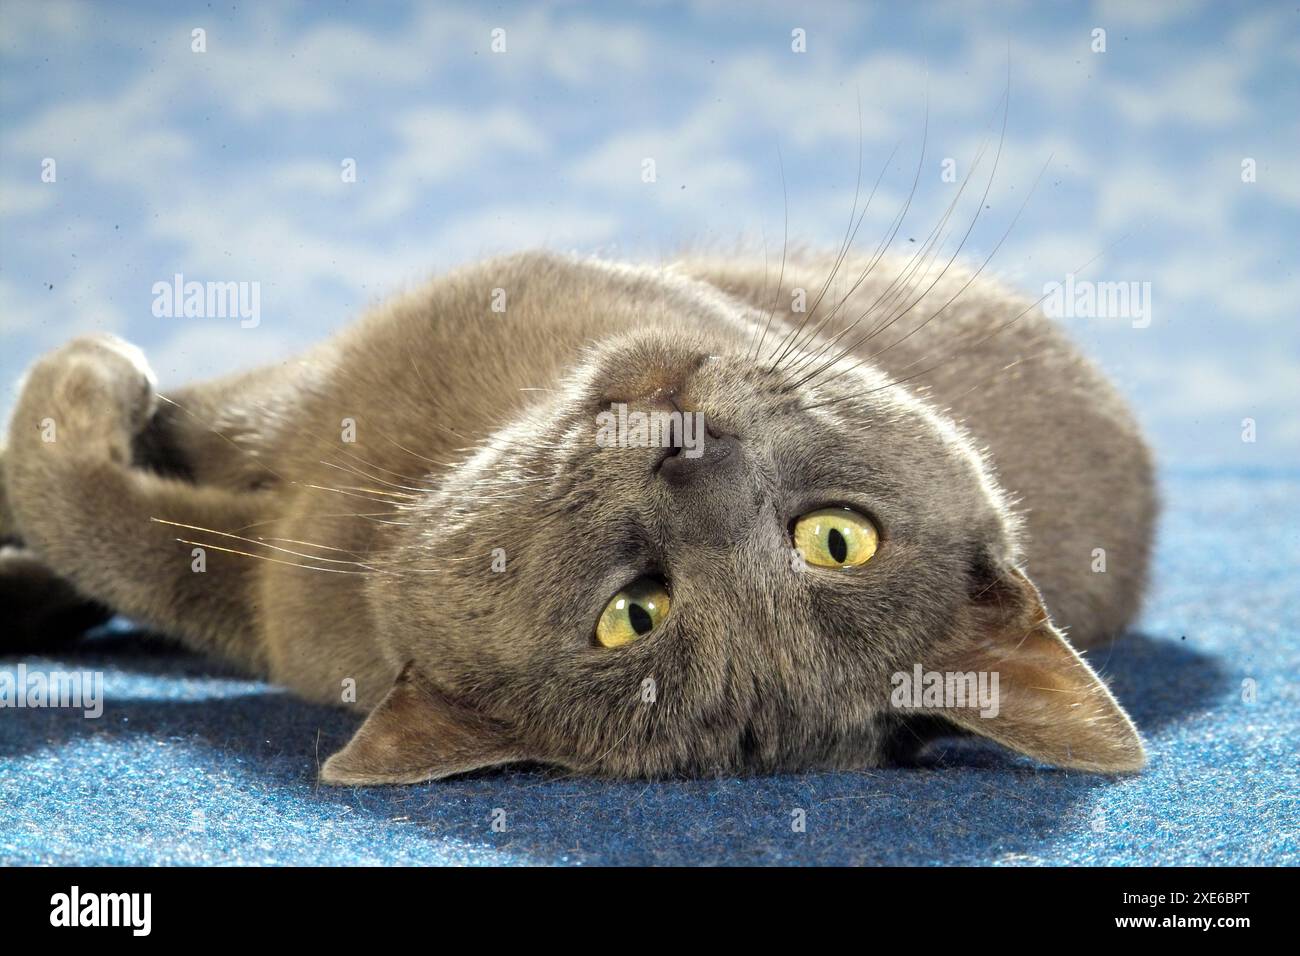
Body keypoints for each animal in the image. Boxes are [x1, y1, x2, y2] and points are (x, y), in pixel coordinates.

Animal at [0, 252, 1159, 785]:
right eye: (839, 535)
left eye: (631, 612)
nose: (686, 446)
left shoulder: (263, 561)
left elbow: (117, 526)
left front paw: (84, 374)